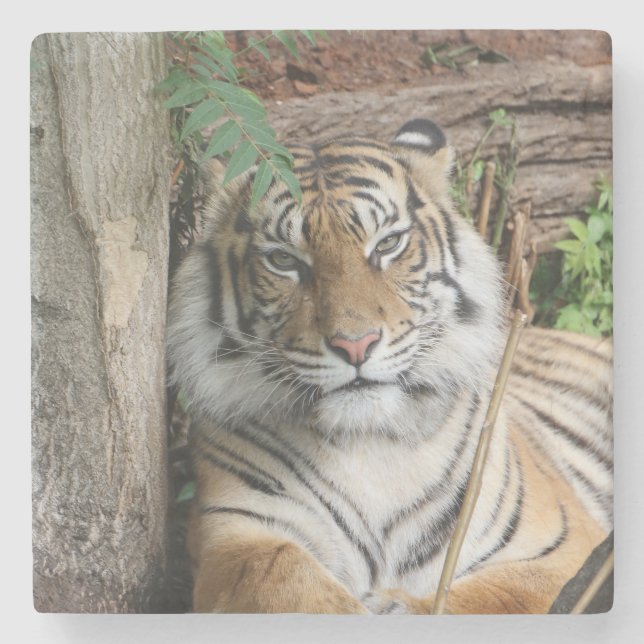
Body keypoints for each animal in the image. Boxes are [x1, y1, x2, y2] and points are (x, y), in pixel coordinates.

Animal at [166, 118, 613, 614]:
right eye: (283, 259)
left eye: (388, 244)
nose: (355, 344)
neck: (370, 448)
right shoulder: (233, 533)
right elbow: (277, 572)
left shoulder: (560, 548)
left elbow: (494, 596)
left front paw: (395, 607)